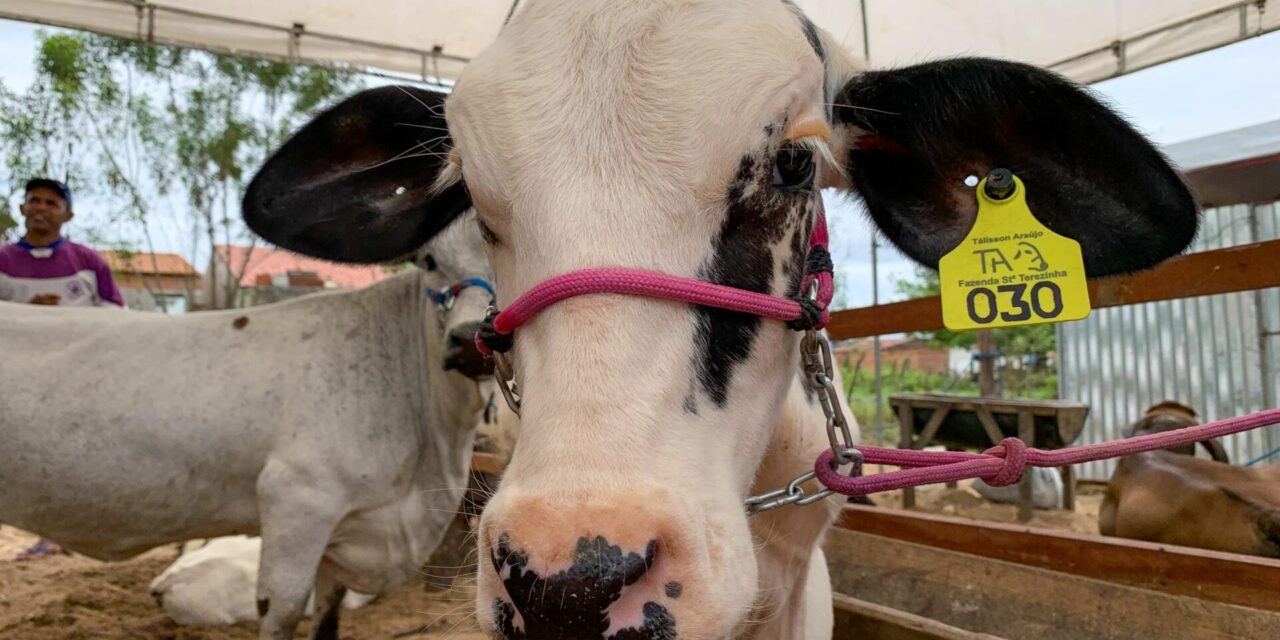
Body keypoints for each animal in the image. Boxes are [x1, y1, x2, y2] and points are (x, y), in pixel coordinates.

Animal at [0, 218, 494, 640]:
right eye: (429, 260)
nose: (471, 340)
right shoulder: (297, 501)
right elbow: (284, 613)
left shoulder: (344, 532)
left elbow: (327, 618)